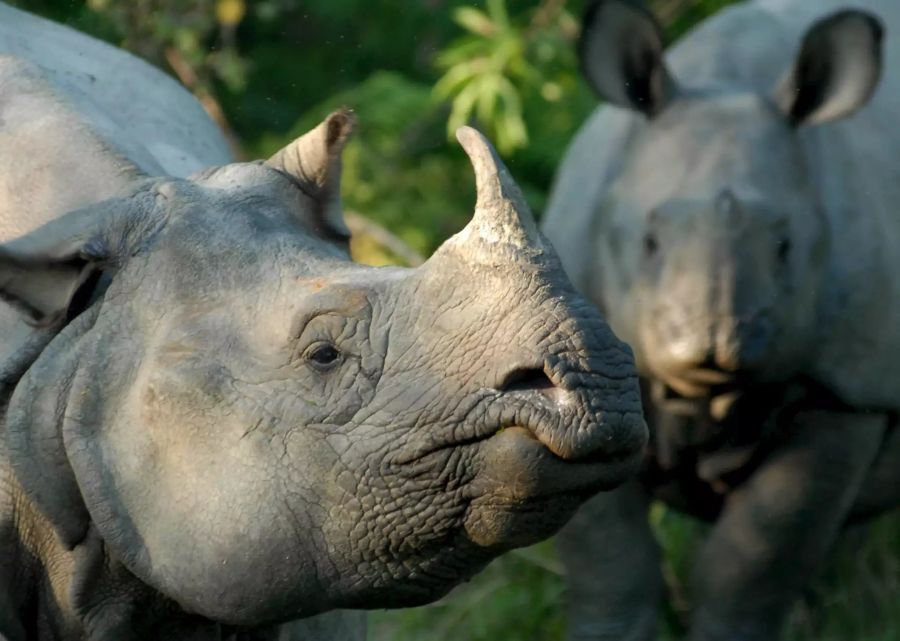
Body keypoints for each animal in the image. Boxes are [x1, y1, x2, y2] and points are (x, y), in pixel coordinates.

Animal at [540, 0, 900, 636]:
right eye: (649, 243)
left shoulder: (847, 387)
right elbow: (610, 564)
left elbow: (755, 559)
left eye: (785, 247)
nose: (711, 340)